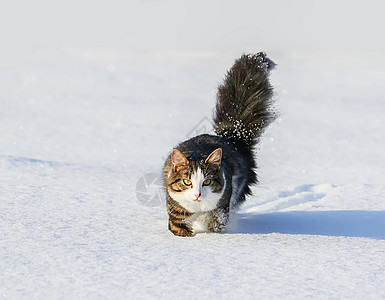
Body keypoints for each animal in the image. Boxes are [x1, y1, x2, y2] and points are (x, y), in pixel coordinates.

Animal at [162, 53, 276, 237]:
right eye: (187, 182)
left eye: (207, 182)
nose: (197, 195)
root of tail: (233, 136)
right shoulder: (176, 208)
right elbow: (178, 227)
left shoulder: (223, 200)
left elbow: (217, 222)